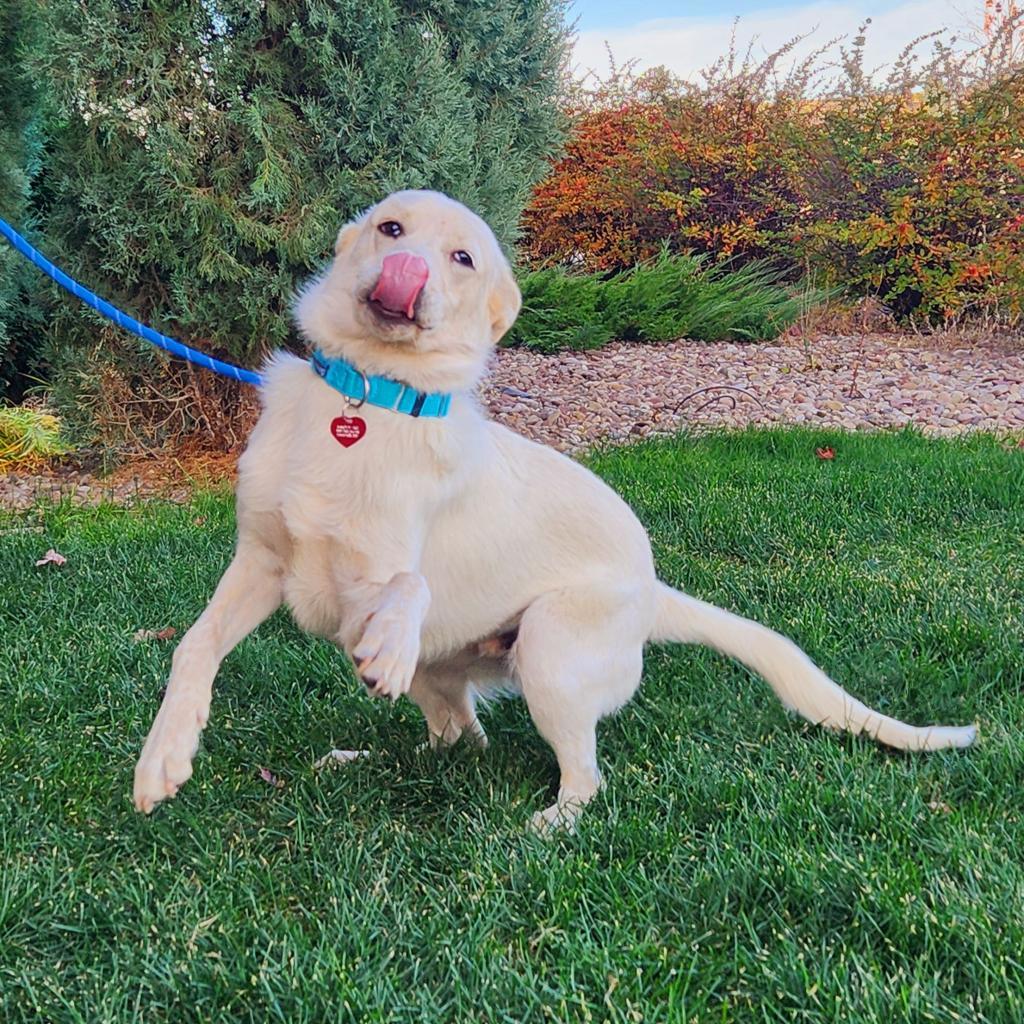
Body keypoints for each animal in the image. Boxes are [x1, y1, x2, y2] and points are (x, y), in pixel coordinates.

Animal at [134, 190, 974, 831]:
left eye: (462, 259)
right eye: (392, 229)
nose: (407, 271)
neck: (366, 398)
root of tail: (654, 592)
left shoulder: (382, 570)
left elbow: (408, 583)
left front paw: (387, 644)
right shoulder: (259, 564)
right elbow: (193, 650)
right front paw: (163, 757)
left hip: (548, 650)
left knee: (583, 776)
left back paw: (549, 826)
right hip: (447, 673)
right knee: (461, 738)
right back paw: (364, 759)